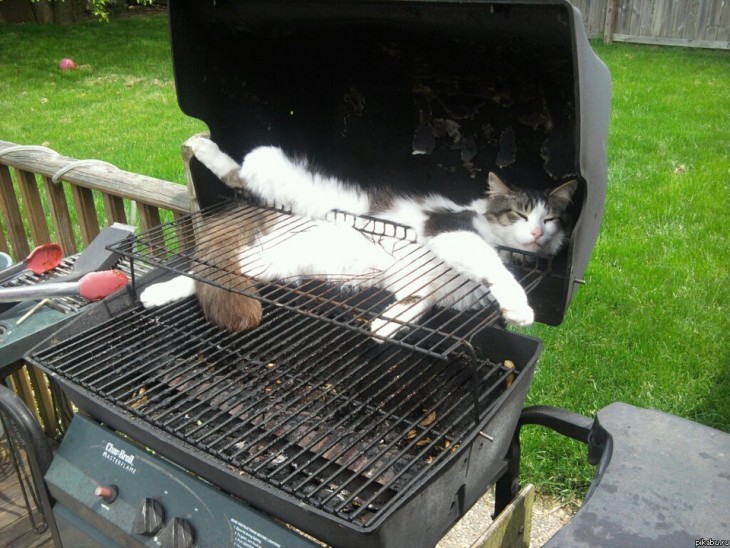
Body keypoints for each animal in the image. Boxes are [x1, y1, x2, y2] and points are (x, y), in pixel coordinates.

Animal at [141, 137, 576, 338]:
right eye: (520, 214)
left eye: (551, 218)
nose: (537, 232)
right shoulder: (448, 228)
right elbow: (494, 267)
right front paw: (519, 308)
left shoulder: (422, 288)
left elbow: (413, 305)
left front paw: (384, 326)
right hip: (268, 166)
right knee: (238, 173)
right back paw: (203, 147)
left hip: (274, 263)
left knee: (214, 274)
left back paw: (155, 294)